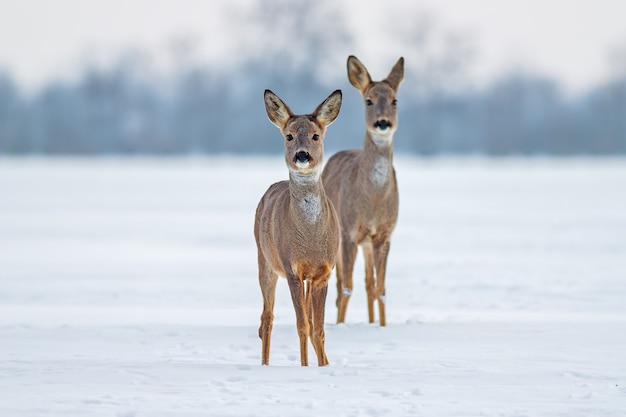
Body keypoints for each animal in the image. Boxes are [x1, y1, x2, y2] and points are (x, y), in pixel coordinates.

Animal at [254, 88, 342, 364]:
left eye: (316, 135)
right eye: (289, 135)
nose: (302, 155)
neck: (310, 238)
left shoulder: (323, 272)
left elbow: (318, 329)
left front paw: (323, 366)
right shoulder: (291, 268)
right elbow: (302, 325)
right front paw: (304, 367)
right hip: (265, 260)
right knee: (266, 318)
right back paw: (264, 364)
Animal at [320, 55, 402, 326]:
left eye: (394, 100)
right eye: (369, 100)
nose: (383, 122)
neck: (373, 203)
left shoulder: (384, 234)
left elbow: (381, 289)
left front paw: (383, 326)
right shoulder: (348, 232)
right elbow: (346, 286)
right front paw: (340, 325)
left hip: (367, 243)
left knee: (368, 283)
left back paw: (371, 321)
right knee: (340, 284)